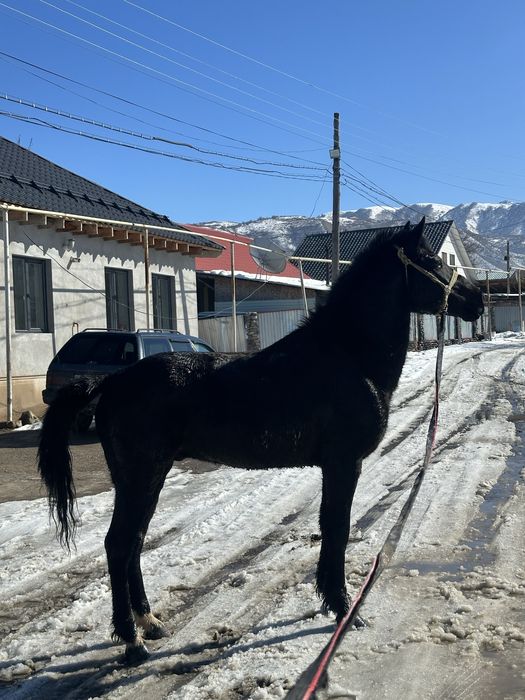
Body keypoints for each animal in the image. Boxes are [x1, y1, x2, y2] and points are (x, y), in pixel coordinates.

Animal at [38, 218, 484, 663]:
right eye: (430, 261)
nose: (477, 299)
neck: (348, 355)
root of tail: (112, 381)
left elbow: (331, 527)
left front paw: (331, 600)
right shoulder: (344, 463)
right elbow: (337, 528)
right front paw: (342, 608)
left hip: (145, 478)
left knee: (133, 543)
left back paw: (151, 623)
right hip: (141, 476)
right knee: (119, 545)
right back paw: (132, 641)